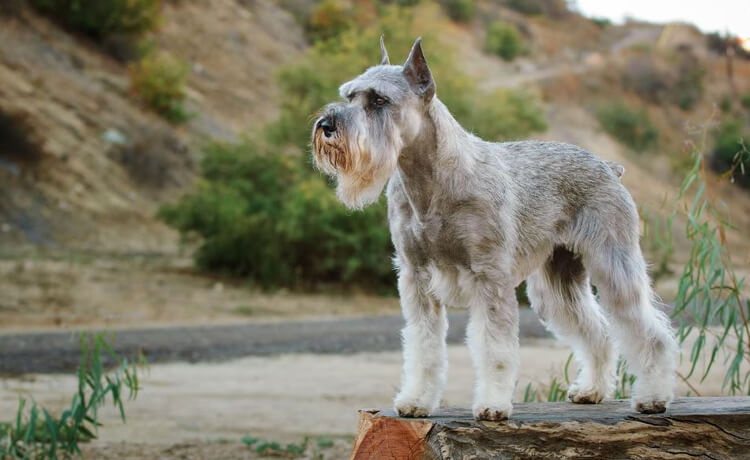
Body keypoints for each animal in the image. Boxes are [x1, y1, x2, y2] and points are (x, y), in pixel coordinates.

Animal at [312, 38, 680, 420]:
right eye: (349, 95)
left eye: (379, 100)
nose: (326, 125)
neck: (430, 181)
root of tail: (609, 166)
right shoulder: (416, 276)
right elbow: (423, 346)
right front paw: (416, 400)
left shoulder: (489, 275)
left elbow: (495, 349)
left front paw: (492, 405)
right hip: (557, 283)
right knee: (598, 332)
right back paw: (591, 390)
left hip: (613, 265)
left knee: (649, 332)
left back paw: (653, 396)